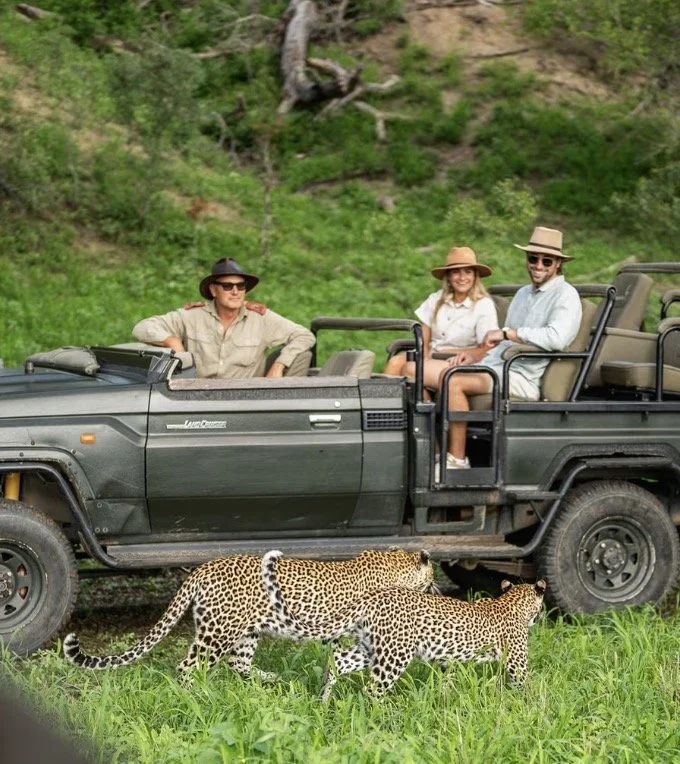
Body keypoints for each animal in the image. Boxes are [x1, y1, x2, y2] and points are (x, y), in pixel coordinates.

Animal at [63, 548, 436, 678]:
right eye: (432, 577)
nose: (437, 589)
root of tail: (202, 568)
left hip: (246, 633)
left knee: (237, 664)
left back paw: (264, 685)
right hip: (218, 632)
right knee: (189, 665)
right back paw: (198, 696)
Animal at [261, 550, 545, 699]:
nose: (539, 617)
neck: (511, 602)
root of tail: (372, 597)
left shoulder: (448, 661)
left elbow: (448, 681)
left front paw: (444, 699)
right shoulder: (517, 660)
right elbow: (526, 683)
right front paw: (534, 707)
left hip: (371, 648)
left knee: (336, 662)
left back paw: (323, 701)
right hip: (395, 655)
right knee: (372, 689)